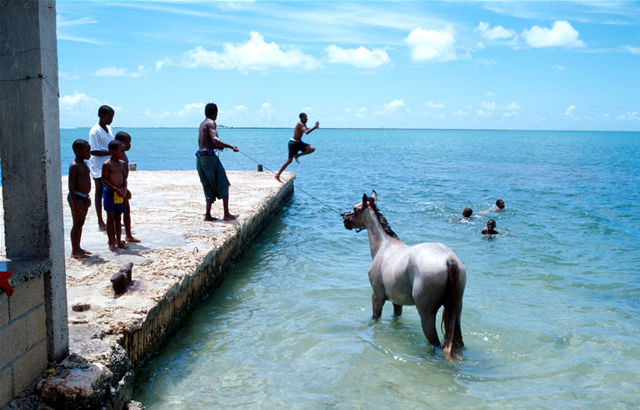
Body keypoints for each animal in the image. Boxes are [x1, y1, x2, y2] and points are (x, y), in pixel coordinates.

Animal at [342, 190, 468, 358]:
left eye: (355, 208)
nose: (345, 219)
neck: (384, 246)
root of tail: (449, 259)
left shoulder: (377, 296)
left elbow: (375, 318)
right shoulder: (397, 301)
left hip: (426, 314)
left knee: (435, 342)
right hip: (457, 310)